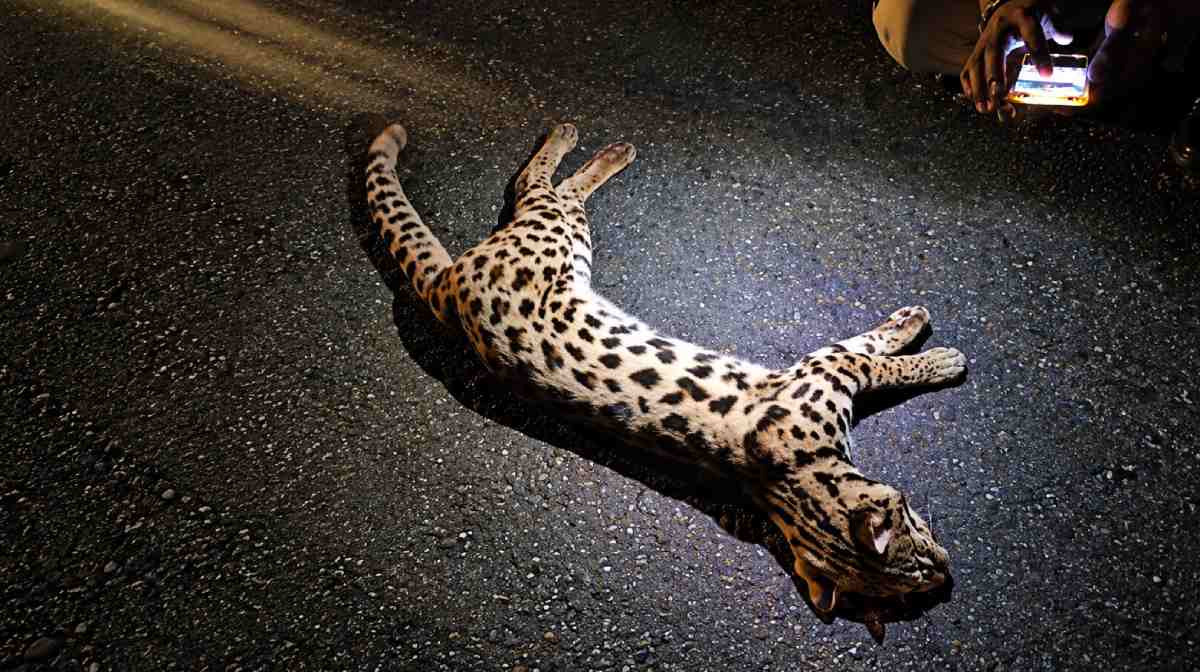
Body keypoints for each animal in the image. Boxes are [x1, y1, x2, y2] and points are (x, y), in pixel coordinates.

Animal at [365, 122, 963, 626]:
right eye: (917, 546)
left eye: (914, 586)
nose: (950, 578)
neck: (794, 479)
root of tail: (443, 288)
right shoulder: (823, 367)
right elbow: (877, 355)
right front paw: (934, 349)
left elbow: (872, 348)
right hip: (557, 236)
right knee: (541, 185)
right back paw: (589, 142)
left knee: (548, 191)